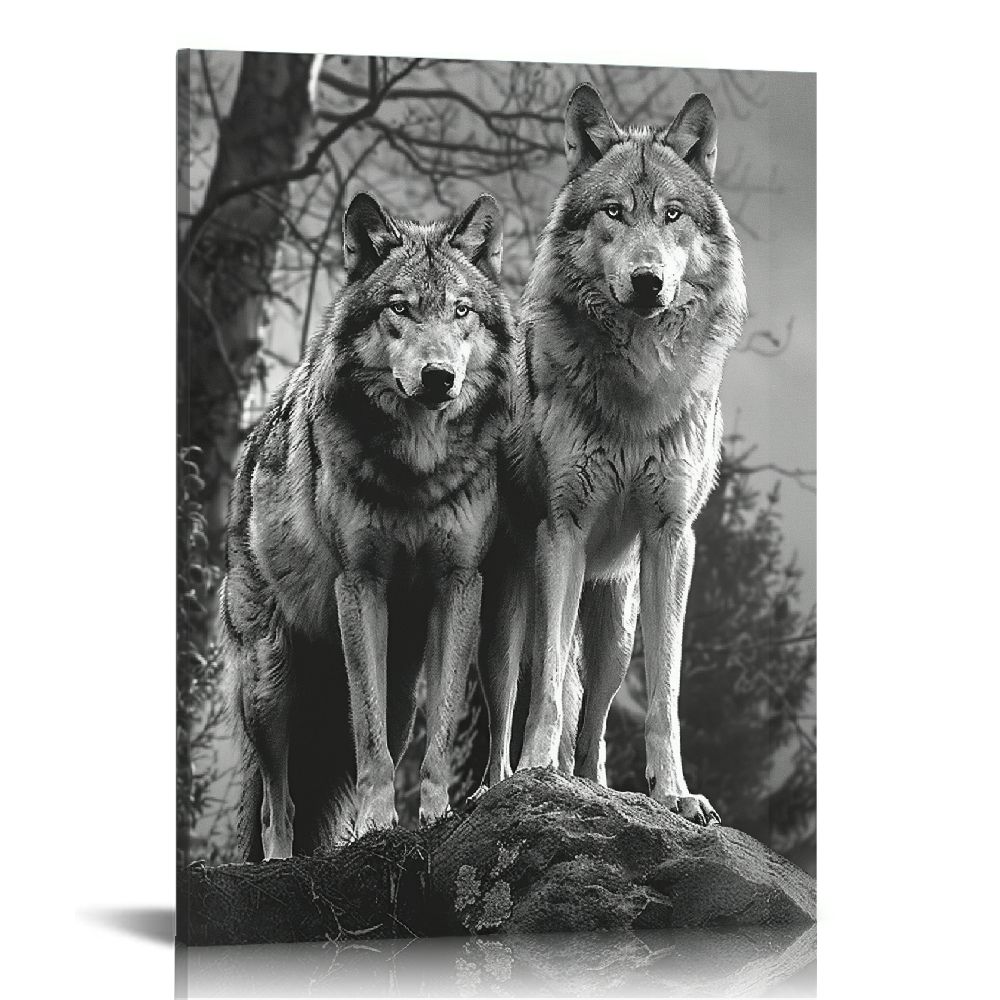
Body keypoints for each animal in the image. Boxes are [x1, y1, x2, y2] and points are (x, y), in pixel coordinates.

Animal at [222, 191, 514, 860]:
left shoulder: (461, 585)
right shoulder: (359, 585)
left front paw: (433, 816)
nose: (439, 377)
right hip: (269, 684)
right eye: (399, 309)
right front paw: (380, 823)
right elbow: (368, 736)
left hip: (402, 687)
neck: (418, 471)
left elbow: (438, 732)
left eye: (461, 310)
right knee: (278, 800)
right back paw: (280, 859)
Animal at [481, 84, 747, 826]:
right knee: (506, 706)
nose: (648, 280)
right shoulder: (563, 533)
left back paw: (595, 790)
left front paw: (675, 793)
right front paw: (535, 776)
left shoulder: (672, 539)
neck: (639, 388)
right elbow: (544, 693)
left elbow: (666, 696)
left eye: (672, 215)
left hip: (615, 634)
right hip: (507, 619)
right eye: (614, 212)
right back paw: (493, 787)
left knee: (594, 724)